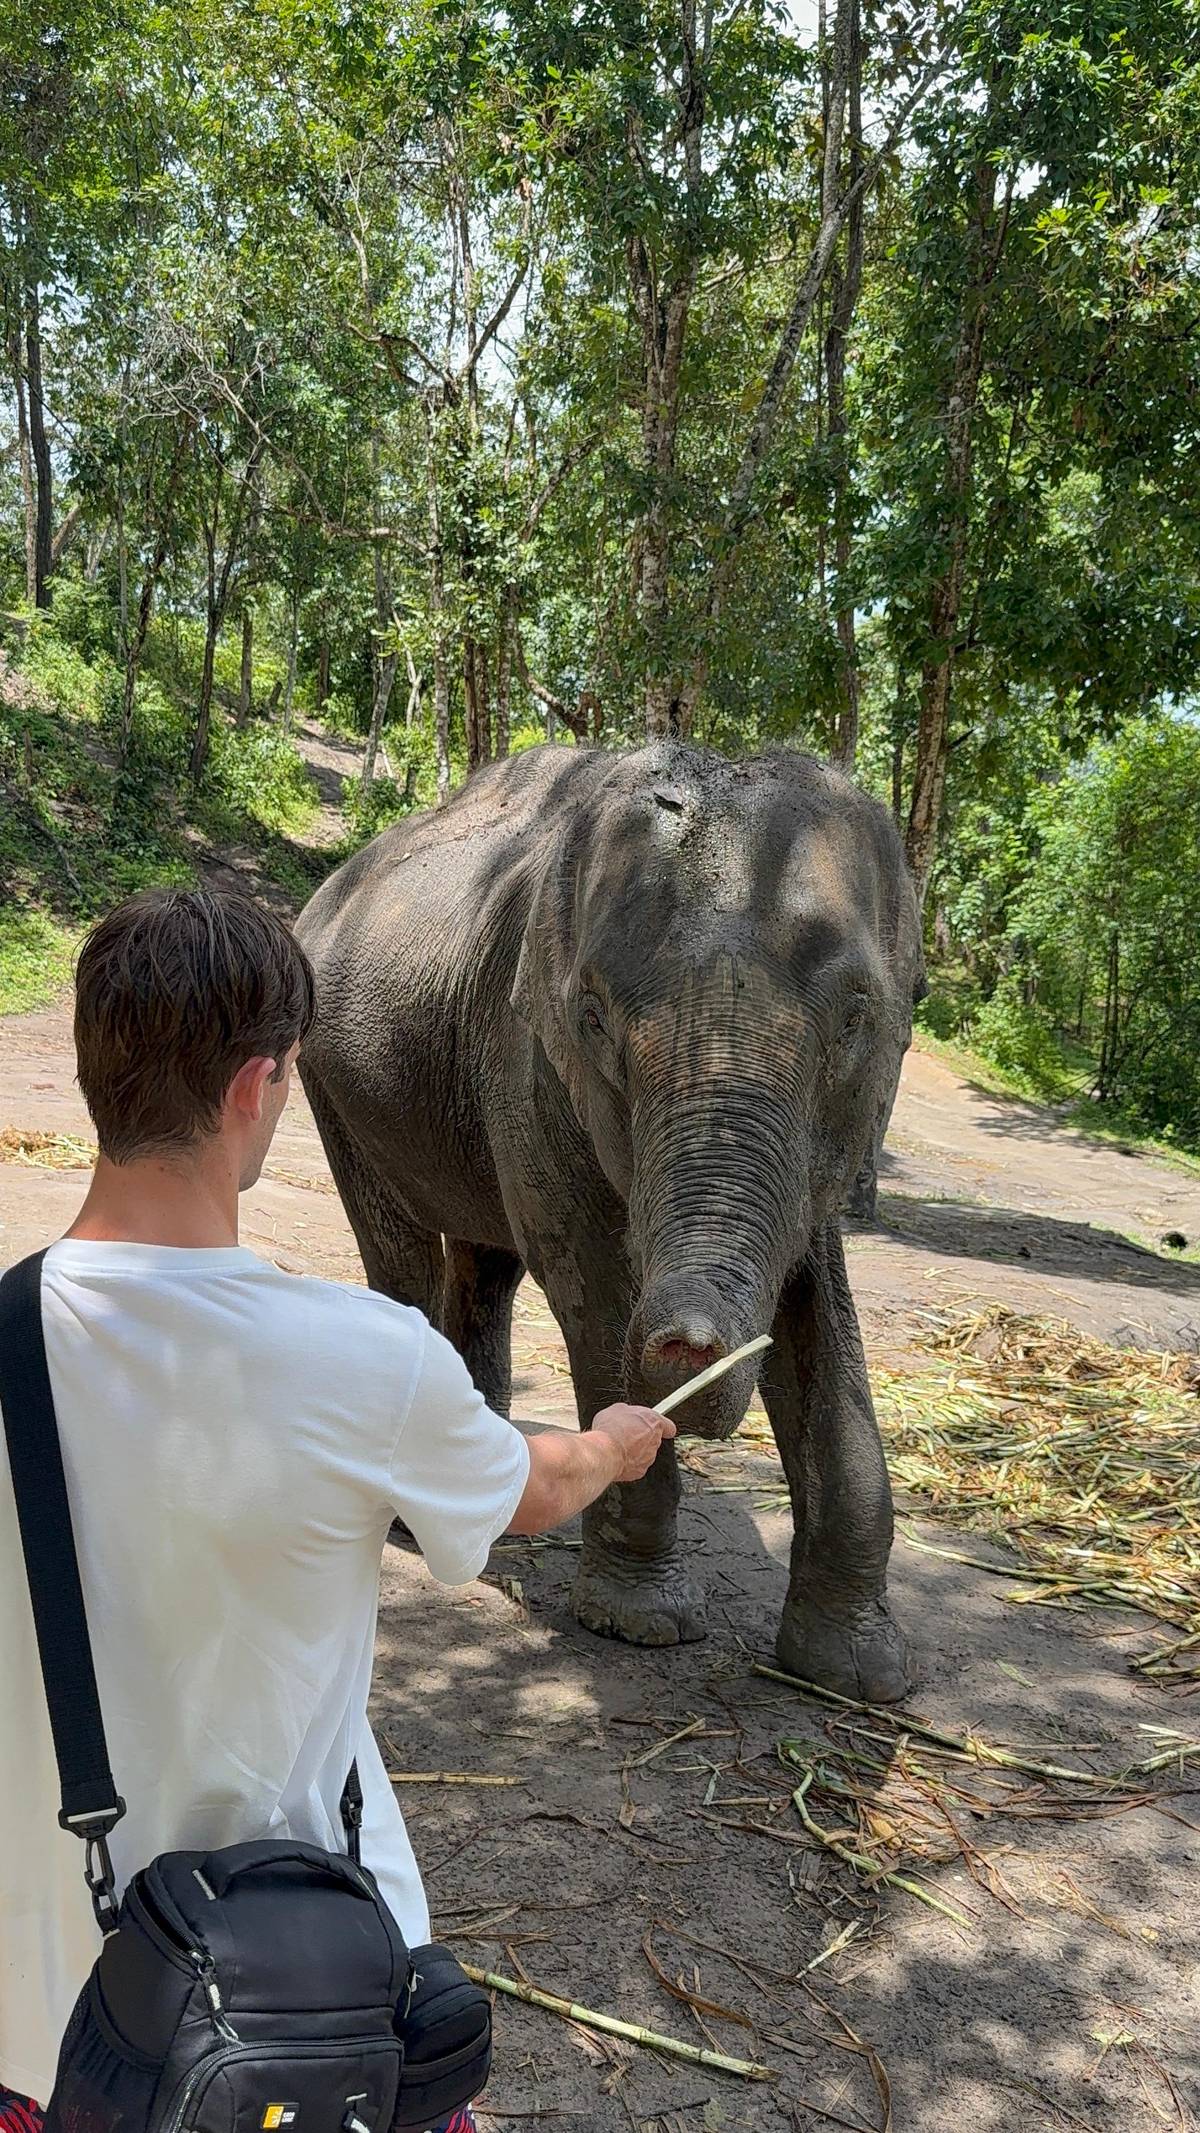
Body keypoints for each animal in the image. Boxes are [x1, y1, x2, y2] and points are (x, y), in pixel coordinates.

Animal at [296, 741, 926, 1701]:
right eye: (593, 1015)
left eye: (858, 1014)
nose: (689, 1342)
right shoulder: (525, 1045)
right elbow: (586, 1274)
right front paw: (640, 1622)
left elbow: (817, 1300)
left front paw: (859, 1673)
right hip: (332, 1080)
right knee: (403, 1261)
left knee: (484, 1267)